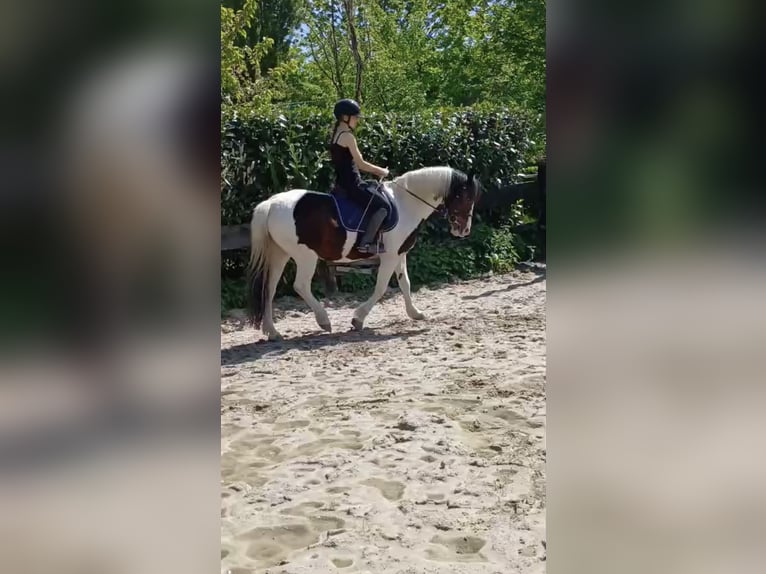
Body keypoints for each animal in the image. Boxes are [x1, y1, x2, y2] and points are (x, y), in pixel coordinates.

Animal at [246, 166, 481, 340]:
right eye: (465, 197)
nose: (463, 230)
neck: (406, 203)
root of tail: (271, 204)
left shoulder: (399, 254)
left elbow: (405, 284)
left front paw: (415, 313)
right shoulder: (389, 256)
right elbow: (381, 288)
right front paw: (358, 319)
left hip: (280, 255)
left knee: (269, 288)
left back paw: (272, 332)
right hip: (306, 256)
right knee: (300, 286)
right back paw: (324, 321)